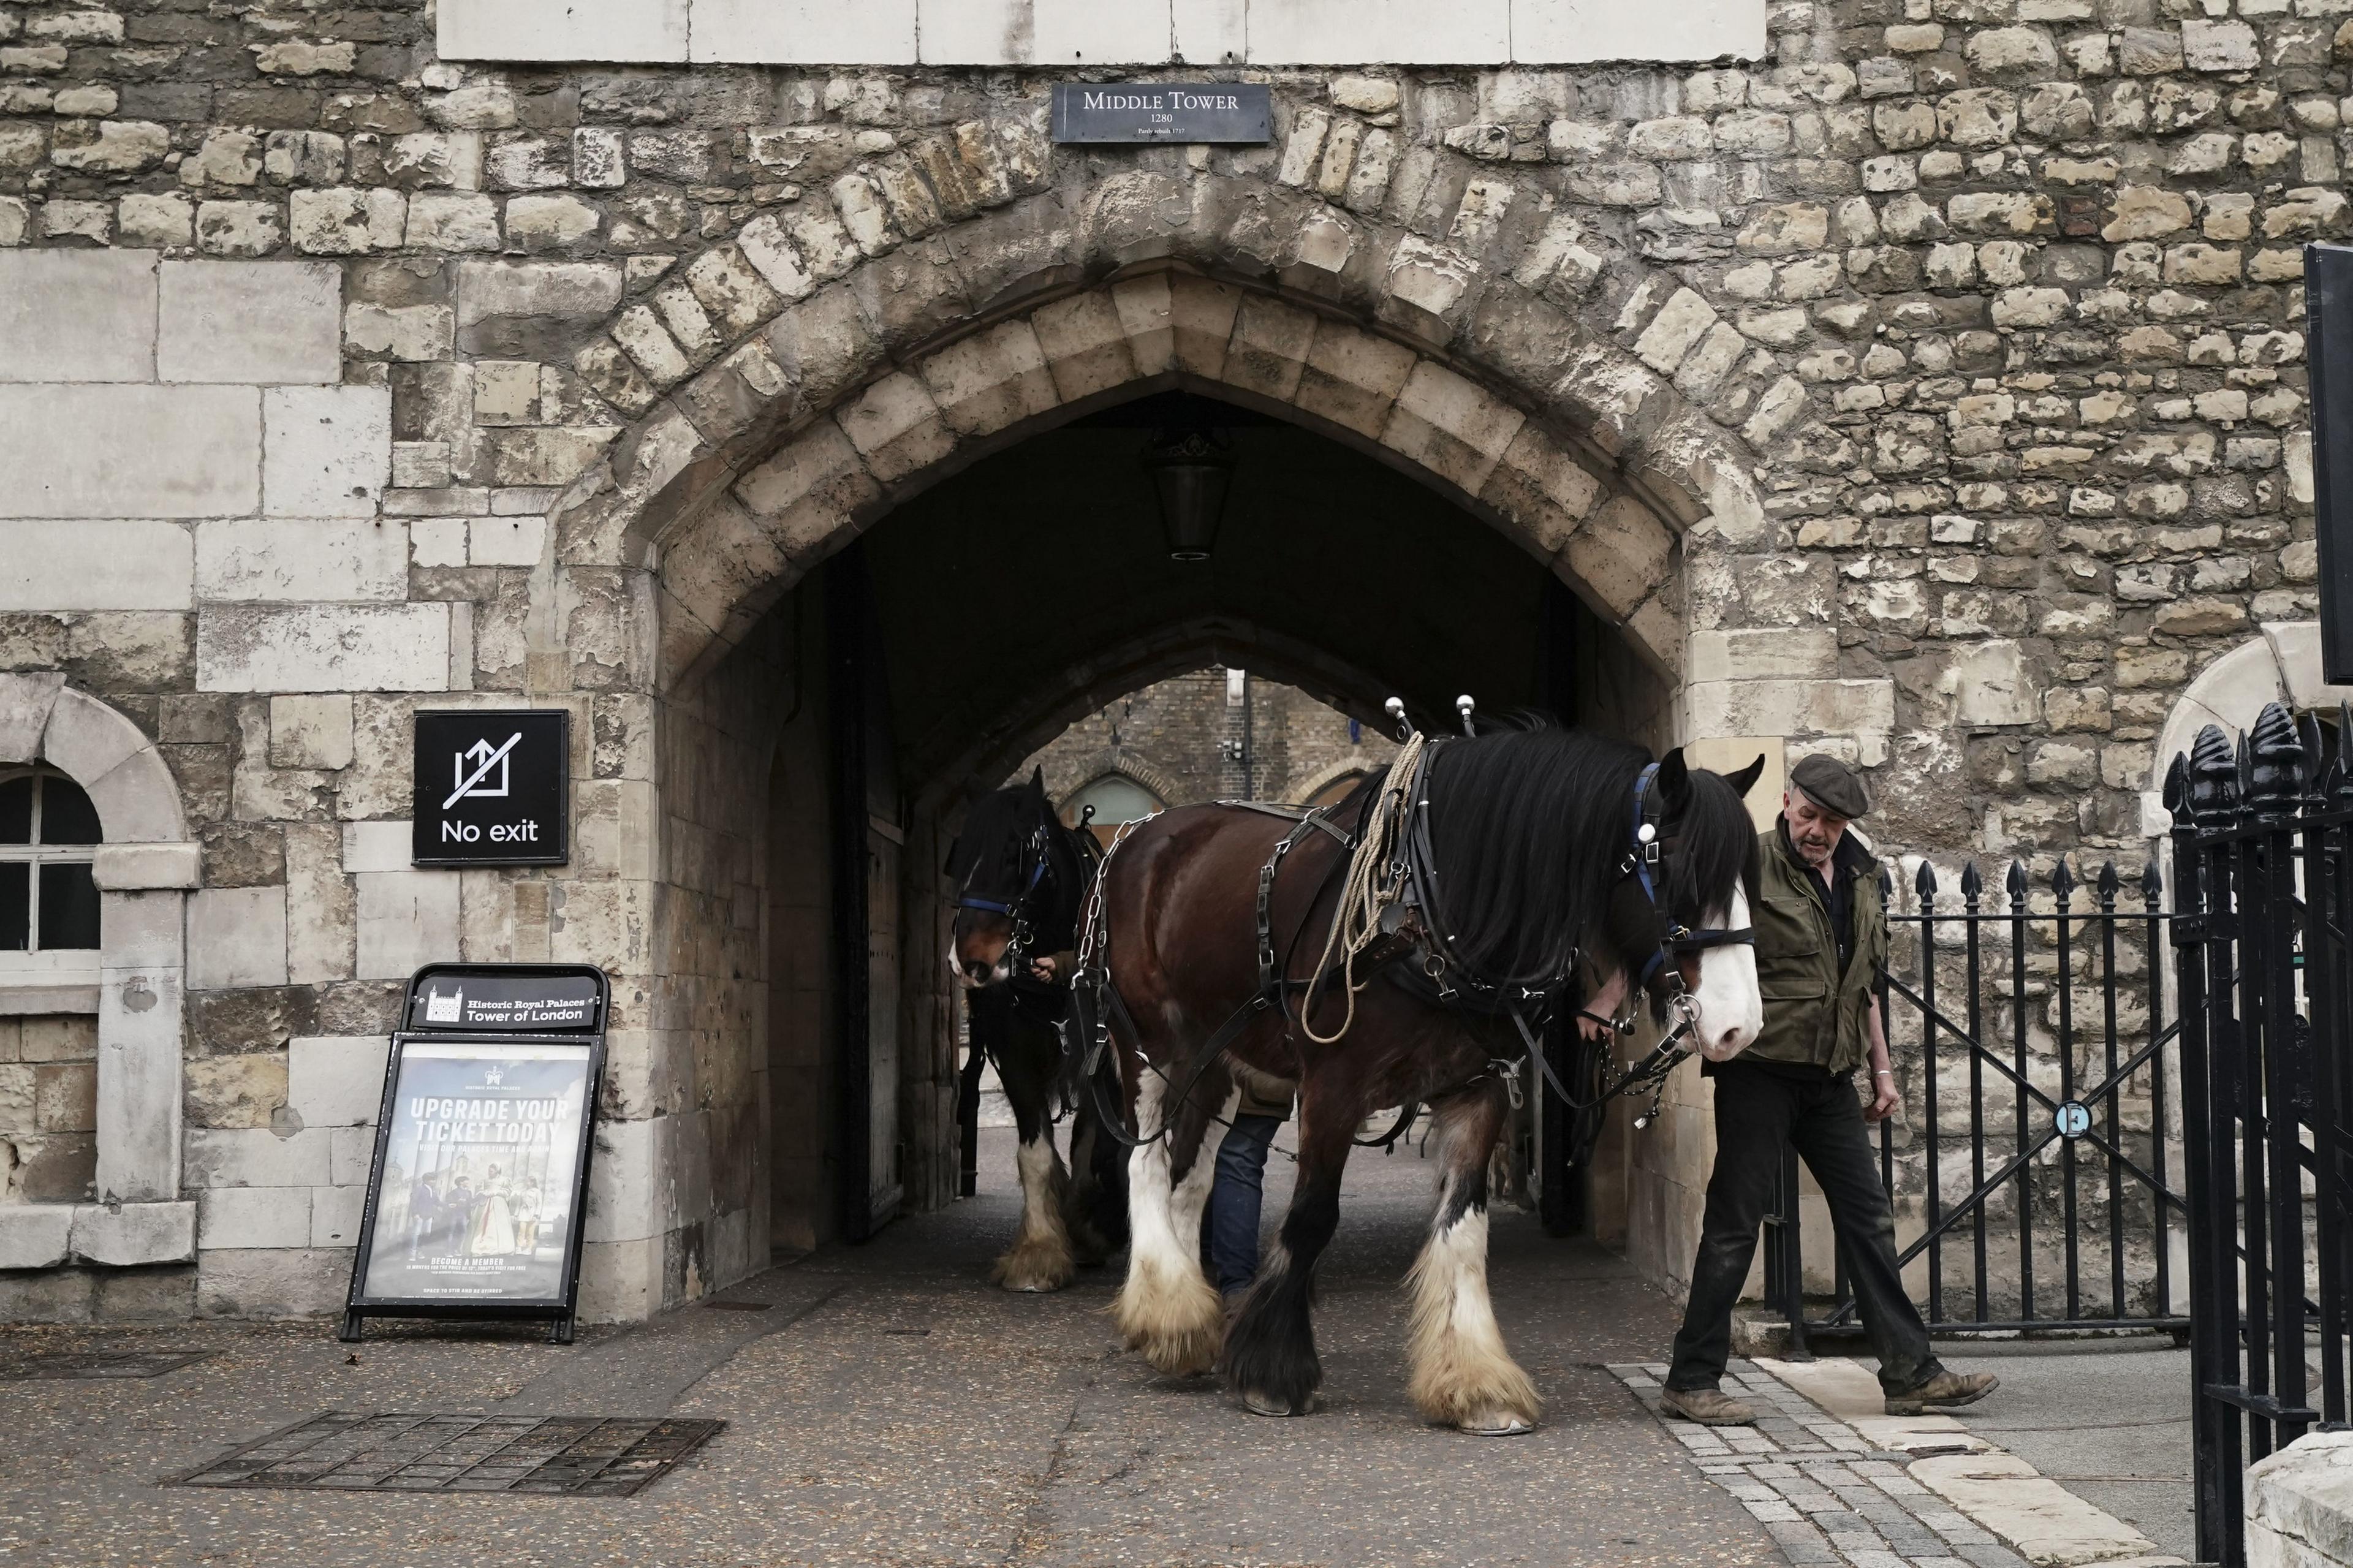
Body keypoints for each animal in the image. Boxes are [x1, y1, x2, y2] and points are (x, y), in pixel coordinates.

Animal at [1087, 720, 1769, 1431]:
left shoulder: (1480, 1088)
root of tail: (1140, 833)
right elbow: (1312, 1217)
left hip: (1219, 1059)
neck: (1428, 910)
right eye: (1682, 876)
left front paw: (1477, 1382)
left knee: (1188, 1178)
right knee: (1145, 1165)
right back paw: (1167, 1311)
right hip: (1148, 1045)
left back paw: (1183, 1317)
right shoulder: (1332, 1085)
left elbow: (1464, 1227)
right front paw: (1274, 1372)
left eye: (1750, 880)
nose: (1741, 1027)